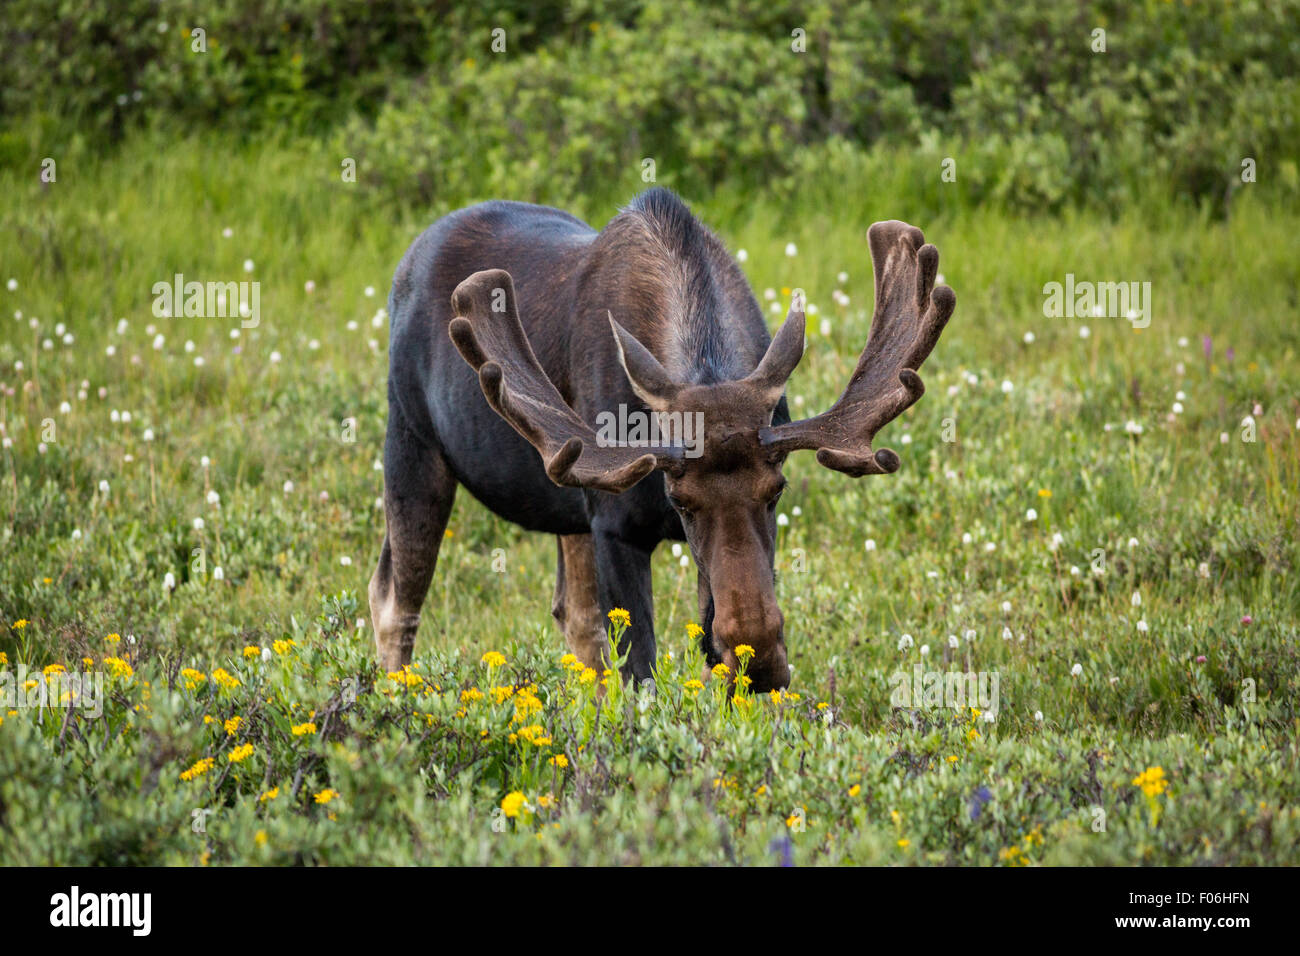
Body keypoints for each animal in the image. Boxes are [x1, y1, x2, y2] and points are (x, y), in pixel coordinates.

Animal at [369, 188, 956, 697]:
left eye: (777, 491)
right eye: (681, 502)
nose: (763, 667)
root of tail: (407, 261)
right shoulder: (615, 525)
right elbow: (641, 673)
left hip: (566, 494)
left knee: (573, 616)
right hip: (412, 441)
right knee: (394, 600)